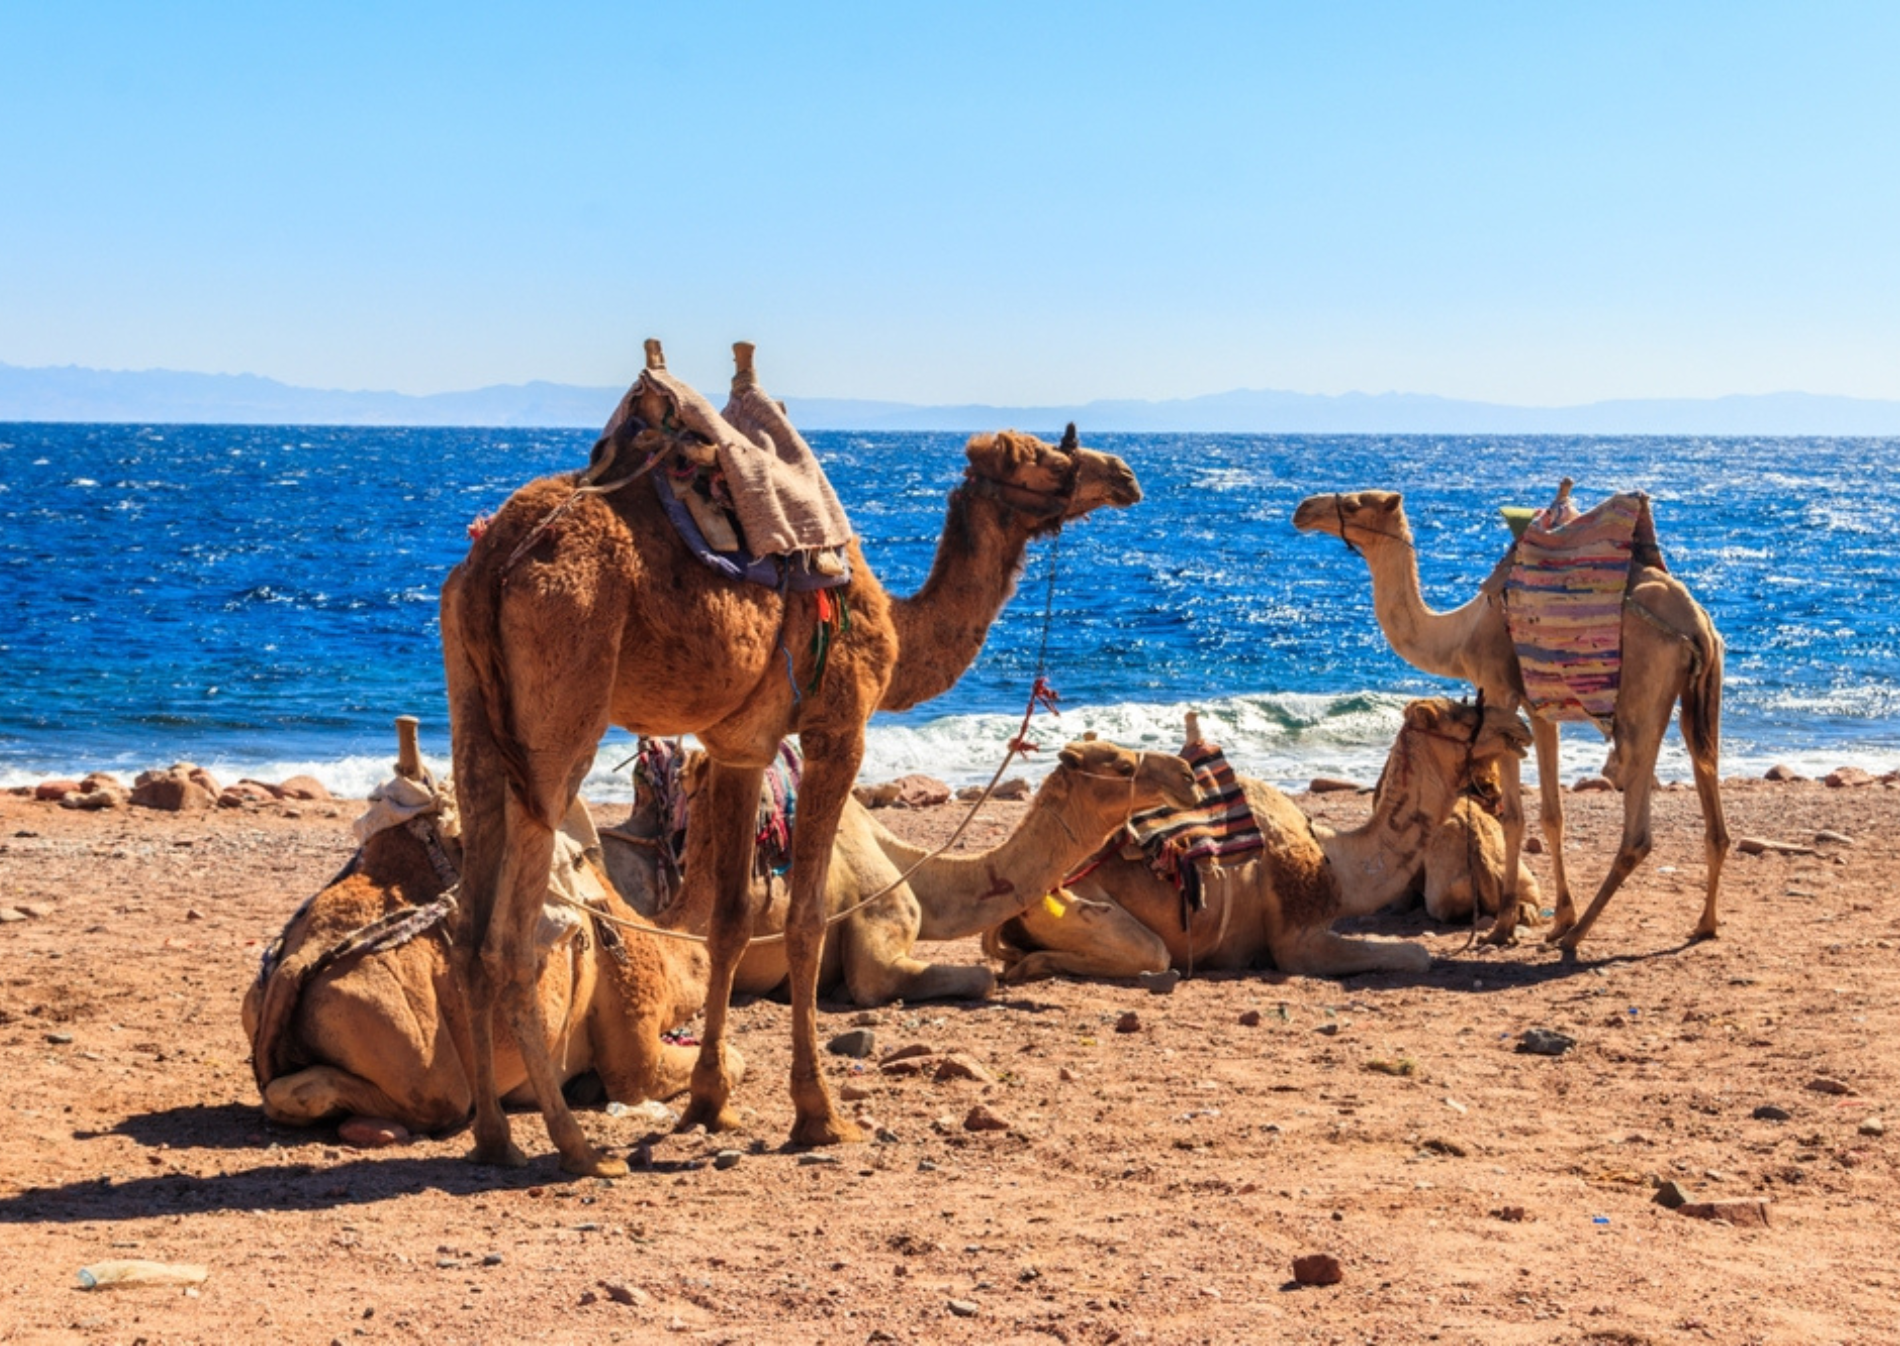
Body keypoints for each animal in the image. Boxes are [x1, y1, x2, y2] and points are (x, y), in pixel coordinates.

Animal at [441, 339, 1142, 1173]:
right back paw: (577, 1147)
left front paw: (711, 1105)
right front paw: (820, 1115)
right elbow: (806, 919)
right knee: (511, 938)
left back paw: (494, 1138)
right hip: (559, 713)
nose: (1123, 475)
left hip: (473, 718)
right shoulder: (840, 726)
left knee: (467, 928)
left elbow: (731, 922)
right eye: (1041, 457)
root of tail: (495, 563)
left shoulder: (737, 747)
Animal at [980, 698, 1532, 982]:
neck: (1337, 861)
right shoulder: (1297, 942)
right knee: (1148, 954)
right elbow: (1416, 954)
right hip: (1075, 903)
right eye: (1465, 714)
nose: (1520, 727)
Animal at [1291, 489, 1728, 952]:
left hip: (1641, 694)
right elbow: (1553, 815)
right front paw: (1558, 918)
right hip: (1702, 690)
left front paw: (1503, 927)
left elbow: (1514, 817)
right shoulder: (1541, 706)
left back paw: (1578, 936)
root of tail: (1696, 623)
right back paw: (1703, 924)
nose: (1304, 510)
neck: (1458, 635)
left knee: (1637, 826)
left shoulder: (1499, 690)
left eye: (1356, 503)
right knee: (1709, 787)